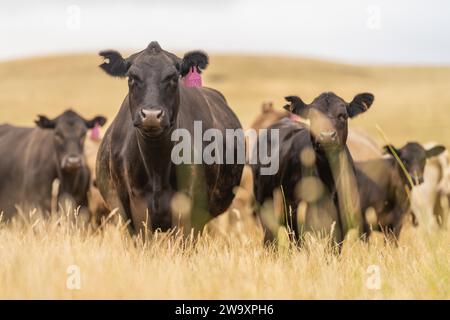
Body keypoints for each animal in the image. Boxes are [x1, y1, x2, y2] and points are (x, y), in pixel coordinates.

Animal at [94, 41, 243, 234]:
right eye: (131, 78)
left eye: (173, 78)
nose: (151, 115)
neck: (157, 168)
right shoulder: (135, 209)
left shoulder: (190, 209)